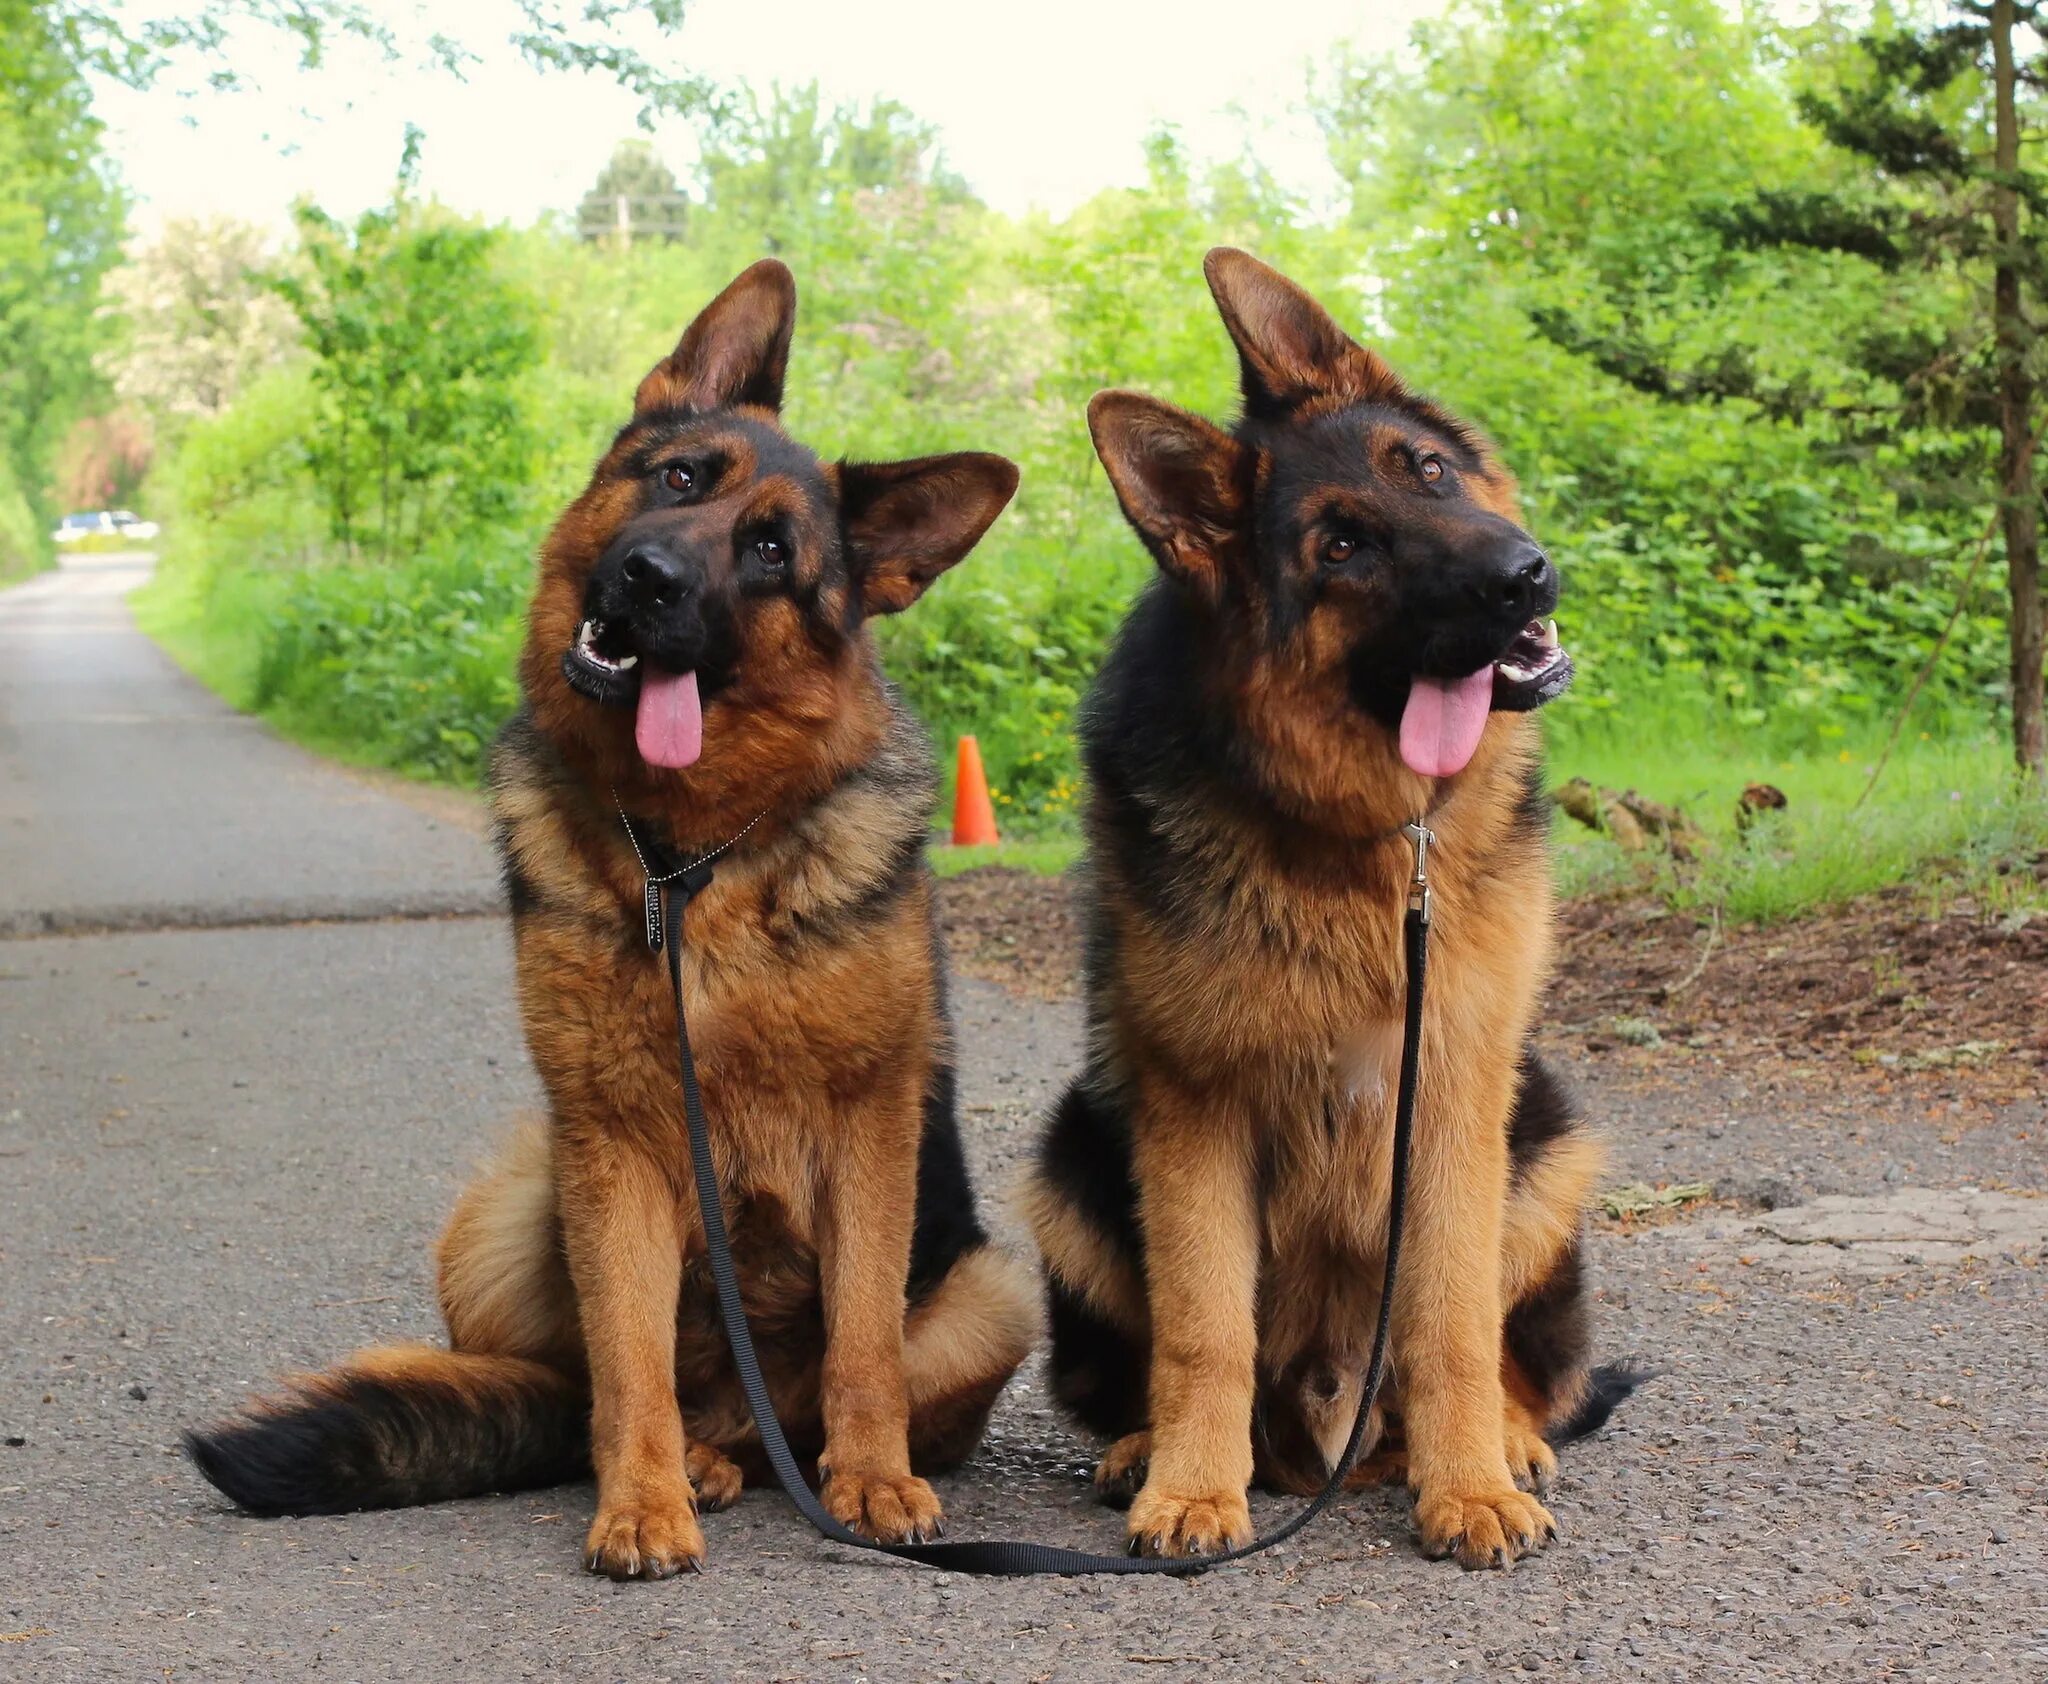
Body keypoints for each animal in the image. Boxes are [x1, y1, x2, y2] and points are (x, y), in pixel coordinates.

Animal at [192, 260, 1040, 1581]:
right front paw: (638, 1503)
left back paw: (783, 1460)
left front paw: (872, 1480)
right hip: (506, 1206)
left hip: (991, 1290)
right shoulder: (612, 1141)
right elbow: (626, 1355)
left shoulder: (870, 1127)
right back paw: (685, 1462)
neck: (689, 860)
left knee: (808, 1405)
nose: (650, 580)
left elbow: (861, 1338)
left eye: (769, 551)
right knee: (600, 1387)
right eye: (678, 478)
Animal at [1024, 250, 1630, 1573]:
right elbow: (1204, 1326)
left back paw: (1504, 1443)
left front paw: (1468, 1487)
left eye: (1427, 470)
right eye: (1341, 545)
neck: (1367, 839)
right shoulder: (1193, 1112)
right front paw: (1196, 1487)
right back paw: (1148, 1447)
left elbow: (1449, 1323)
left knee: (1504, 1360)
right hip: (1070, 1157)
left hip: (1544, 1143)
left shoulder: (1448, 1092)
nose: (1521, 574)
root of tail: (1330, 1434)